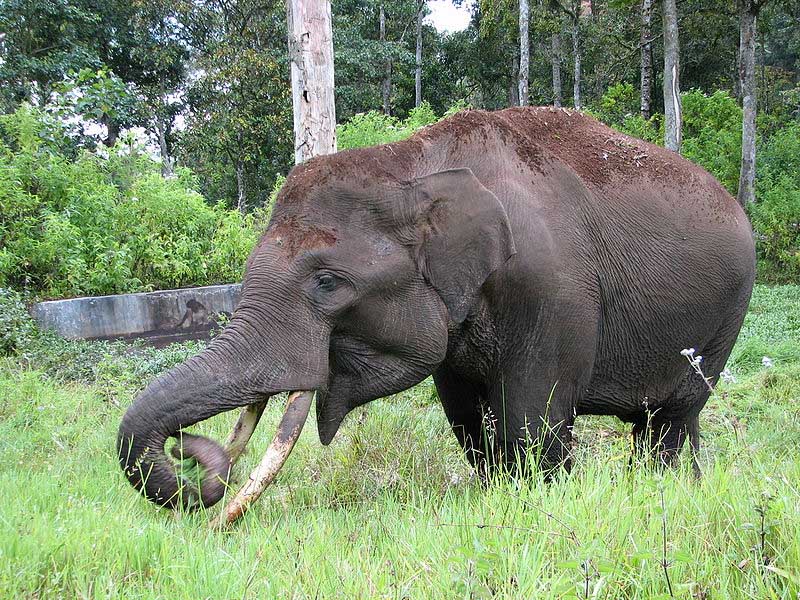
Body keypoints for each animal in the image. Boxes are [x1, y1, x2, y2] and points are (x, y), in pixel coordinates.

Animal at [118, 107, 755, 518]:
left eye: (326, 283)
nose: (194, 460)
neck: (412, 161)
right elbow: (468, 418)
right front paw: (496, 496)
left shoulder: (554, 292)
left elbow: (533, 421)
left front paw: (537, 503)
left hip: (725, 317)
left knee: (668, 421)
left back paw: (664, 488)